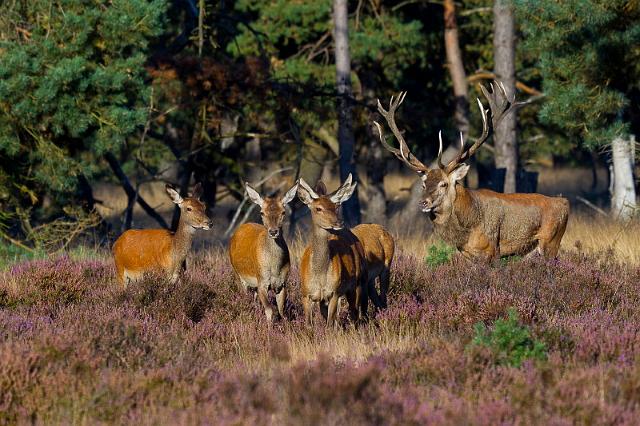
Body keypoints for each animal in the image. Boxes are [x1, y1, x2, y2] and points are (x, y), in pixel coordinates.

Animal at [229, 181, 298, 322]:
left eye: (283, 212)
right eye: (262, 212)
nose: (273, 231)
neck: (275, 267)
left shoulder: (282, 283)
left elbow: (282, 311)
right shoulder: (262, 281)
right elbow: (270, 310)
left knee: (255, 300)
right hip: (238, 274)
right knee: (244, 296)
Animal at [298, 175, 368, 328]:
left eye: (336, 206)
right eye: (318, 208)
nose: (339, 222)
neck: (320, 276)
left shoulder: (334, 292)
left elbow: (329, 324)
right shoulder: (306, 294)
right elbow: (309, 325)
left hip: (358, 282)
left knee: (355, 313)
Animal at [314, 180, 396, 310]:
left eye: (337, 205)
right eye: (318, 208)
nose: (336, 223)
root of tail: (386, 231)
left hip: (386, 265)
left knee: (382, 297)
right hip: (370, 278)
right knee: (375, 295)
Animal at [376, 80, 568, 260]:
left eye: (443, 184)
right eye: (424, 184)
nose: (423, 202)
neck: (467, 231)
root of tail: (564, 203)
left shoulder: (492, 250)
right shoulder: (468, 254)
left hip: (551, 241)